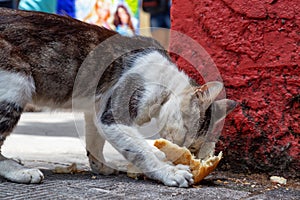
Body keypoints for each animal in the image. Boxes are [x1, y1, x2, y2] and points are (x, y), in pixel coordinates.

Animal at [0, 7, 236, 186]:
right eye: (187, 133)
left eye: (195, 149)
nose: (184, 151)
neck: (165, 82)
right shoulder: (114, 116)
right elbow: (141, 151)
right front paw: (169, 170)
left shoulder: (97, 109)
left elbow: (95, 140)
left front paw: (100, 166)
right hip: (16, 85)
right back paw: (19, 171)